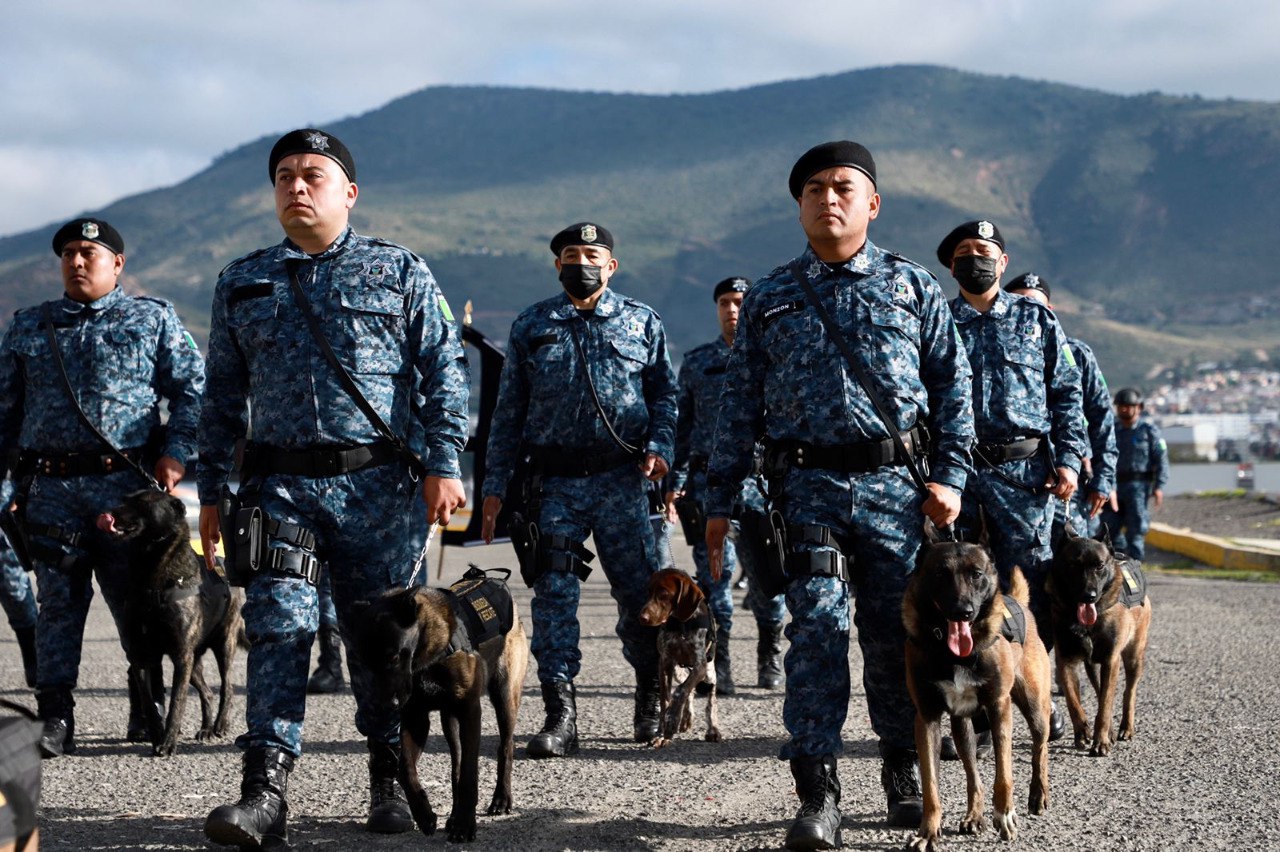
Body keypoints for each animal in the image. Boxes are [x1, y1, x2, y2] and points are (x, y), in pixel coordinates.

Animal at [96, 488, 241, 752]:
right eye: (125, 499)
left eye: (142, 502)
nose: (109, 513)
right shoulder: (141, 656)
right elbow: (148, 701)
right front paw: (156, 735)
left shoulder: (181, 656)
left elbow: (176, 702)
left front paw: (169, 741)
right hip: (194, 661)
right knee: (207, 692)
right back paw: (206, 728)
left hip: (223, 645)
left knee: (228, 686)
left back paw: (220, 724)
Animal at [350, 568, 524, 839]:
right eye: (365, 663)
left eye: (394, 656)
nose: (387, 705)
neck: (427, 655)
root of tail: (488, 577)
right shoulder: (415, 719)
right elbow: (405, 768)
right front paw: (423, 813)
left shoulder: (470, 711)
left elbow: (470, 775)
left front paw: (464, 825)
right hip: (449, 721)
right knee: (456, 765)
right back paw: (452, 815)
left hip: (504, 696)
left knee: (505, 746)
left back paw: (500, 799)